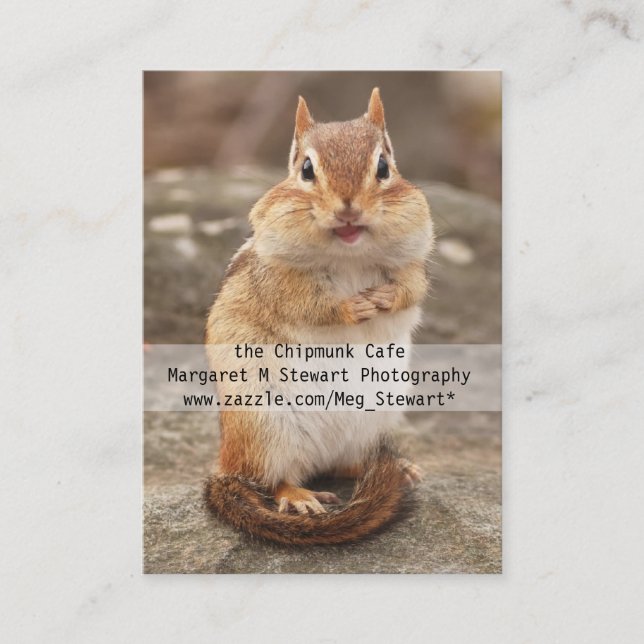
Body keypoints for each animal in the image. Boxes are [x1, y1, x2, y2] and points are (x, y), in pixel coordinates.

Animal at [204, 88, 434, 545]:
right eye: (306, 170)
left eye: (383, 167)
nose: (348, 210)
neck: (350, 254)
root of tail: (226, 465)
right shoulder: (277, 278)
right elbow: (305, 303)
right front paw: (351, 307)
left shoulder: (414, 259)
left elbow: (412, 287)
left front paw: (385, 298)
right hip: (264, 428)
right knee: (275, 479)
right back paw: (299, 497)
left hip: (373, 423)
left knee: (346, 464)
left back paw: (397, 468)